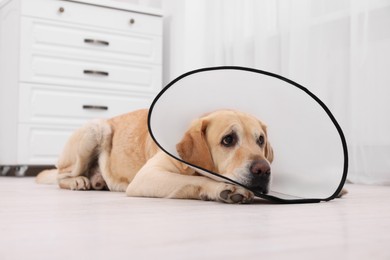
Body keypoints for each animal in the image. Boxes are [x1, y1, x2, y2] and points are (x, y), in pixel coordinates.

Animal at [36, 108, 274, 204]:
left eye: (260, 140)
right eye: (228, 140)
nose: (263, 170)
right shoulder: (148, 176)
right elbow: (195, 180)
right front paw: (223, 189)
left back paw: (97, 180)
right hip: (96, 128)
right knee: (60, 175)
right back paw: (78, 180)